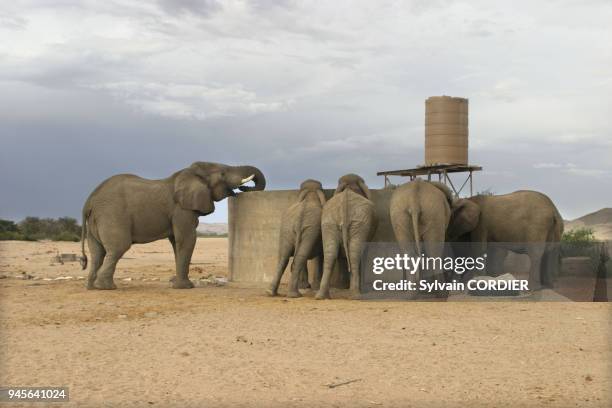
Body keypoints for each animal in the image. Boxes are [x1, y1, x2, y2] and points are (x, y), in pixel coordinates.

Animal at [79, 162, 266, 290]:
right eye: (222, 173)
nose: (243, 188)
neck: (190, 173)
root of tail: (89, 201)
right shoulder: (181, 209)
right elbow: (187, 239)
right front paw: (185, 287)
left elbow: (176, 242)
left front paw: (175, 283)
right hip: (112, 215)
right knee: (117, 248)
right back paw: (106, 287)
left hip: (96, 221)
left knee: (97, 252)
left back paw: (92, 287)